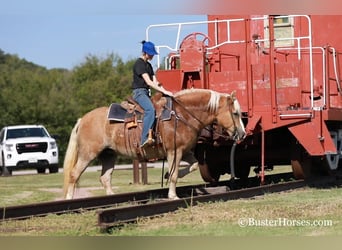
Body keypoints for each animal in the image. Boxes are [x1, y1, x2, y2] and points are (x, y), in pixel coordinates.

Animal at [62, 89, 246, 200]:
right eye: (235, 113)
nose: (242, 133)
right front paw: (173, 195)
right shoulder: (174, 151)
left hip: (108, 155)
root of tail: (82, 119)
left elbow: (192, 166)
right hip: (87, 154)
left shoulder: (185, 151)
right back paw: (69, 200)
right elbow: (174, 174)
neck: (183, 115)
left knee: (105, 178)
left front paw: (168, 177)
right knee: (74, 174)